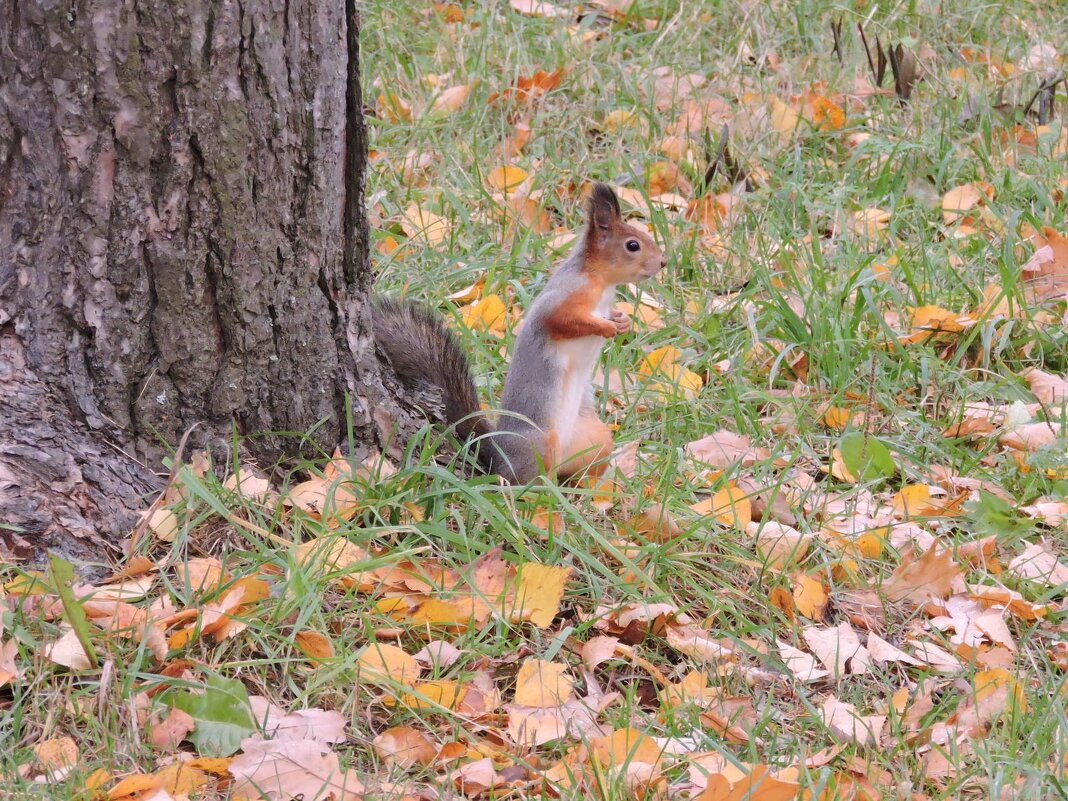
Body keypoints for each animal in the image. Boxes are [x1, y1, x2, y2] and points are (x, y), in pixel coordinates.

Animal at [371, 182, 662, 482]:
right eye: (633, 245)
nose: (662, 262)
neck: (602, 284)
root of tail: (495, 453)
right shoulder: (564, 297)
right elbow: (562, 320)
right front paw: (606, 326)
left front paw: (622, 320)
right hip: (540, 444)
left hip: (595, 437)